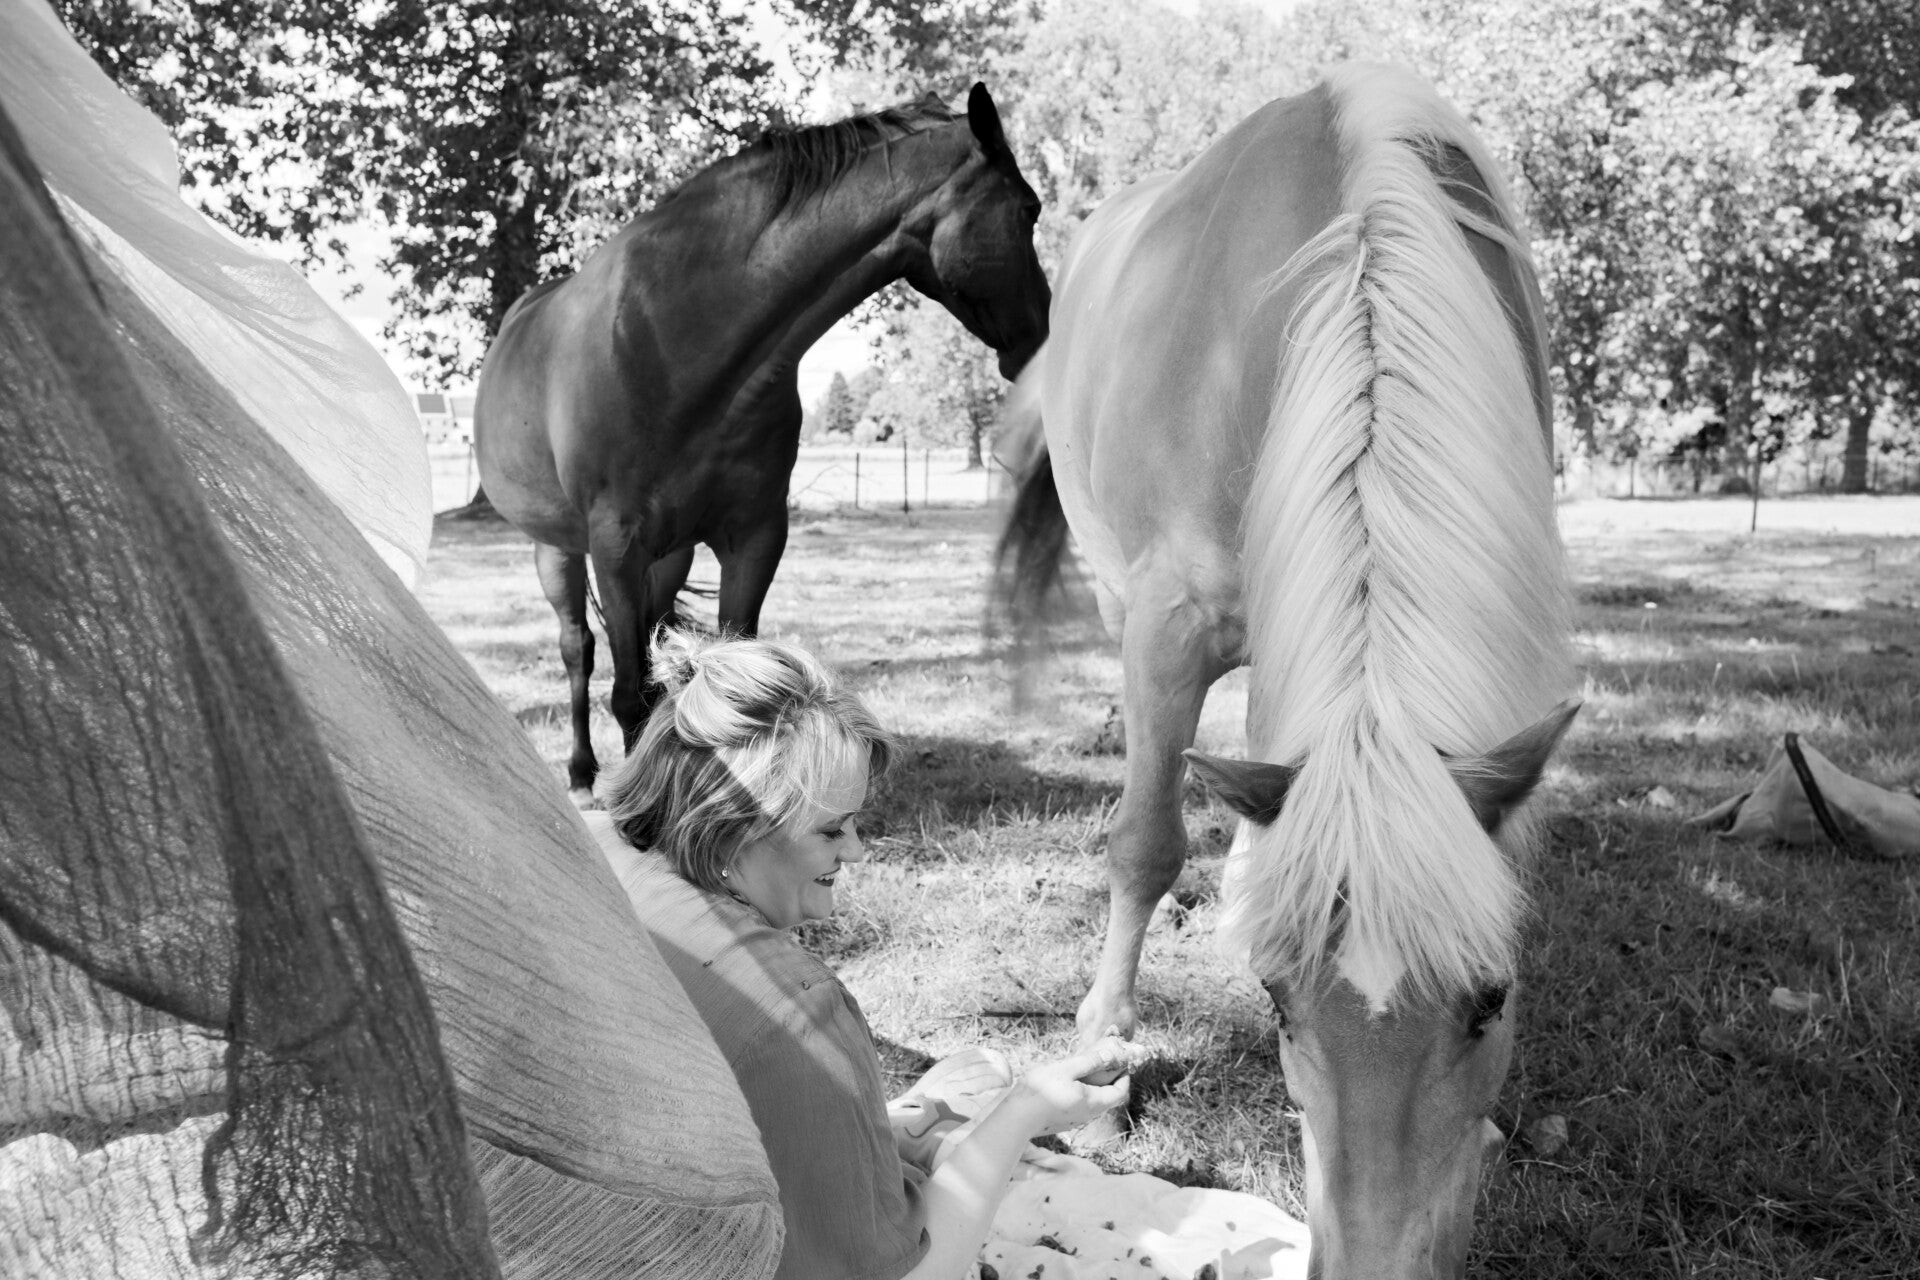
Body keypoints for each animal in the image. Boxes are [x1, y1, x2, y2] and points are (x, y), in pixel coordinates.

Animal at [475, 83, 1050, 803]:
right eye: (1030, 208)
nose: (1042, 335)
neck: (673, 338)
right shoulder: (615, 545)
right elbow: (627, 693)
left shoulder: (753, 536)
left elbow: (735, 681)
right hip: (558, 547)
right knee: (576, 649)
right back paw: (583, 774)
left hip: (670, 555)